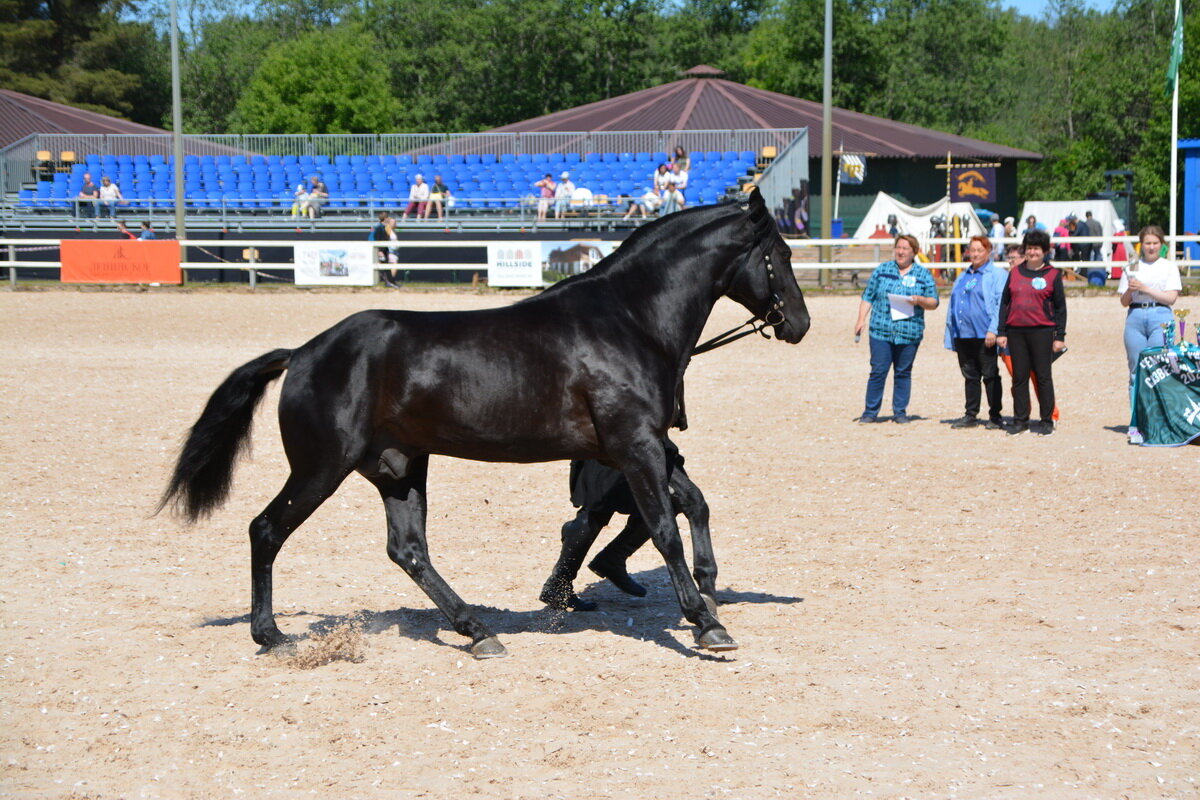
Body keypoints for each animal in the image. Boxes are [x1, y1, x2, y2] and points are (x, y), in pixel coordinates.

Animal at [159, 190, 811, 662]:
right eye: (781, 256)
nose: (799, 324)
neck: (627, 320)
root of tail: (302, 353)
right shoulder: (636, 448)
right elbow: (664, 528)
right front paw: (705, 624)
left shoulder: (641, 449)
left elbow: (692, 504)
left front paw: (710, 594)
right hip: (322, 467)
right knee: (267, 530)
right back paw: (270, 636)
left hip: (398, 468)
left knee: (409, 551)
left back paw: (476, 630)